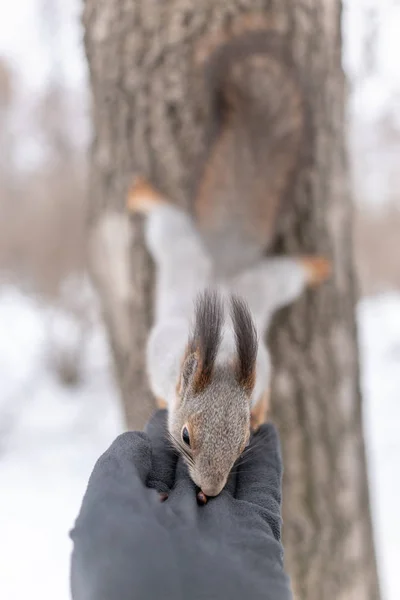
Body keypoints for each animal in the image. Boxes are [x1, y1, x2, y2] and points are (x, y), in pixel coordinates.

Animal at [126, 18, 330, 496]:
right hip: (178, 247)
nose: (210, 491)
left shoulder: (265, 365)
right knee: (165, 220)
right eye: (185, 436)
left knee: (288, 274)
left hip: (262, 284)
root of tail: (222, 261)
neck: (219, 350)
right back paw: (141, 194)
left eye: (241, 443)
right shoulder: (161, 353)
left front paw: (262, 412)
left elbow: (266, 387)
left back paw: (317, 266)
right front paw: (162, 400)